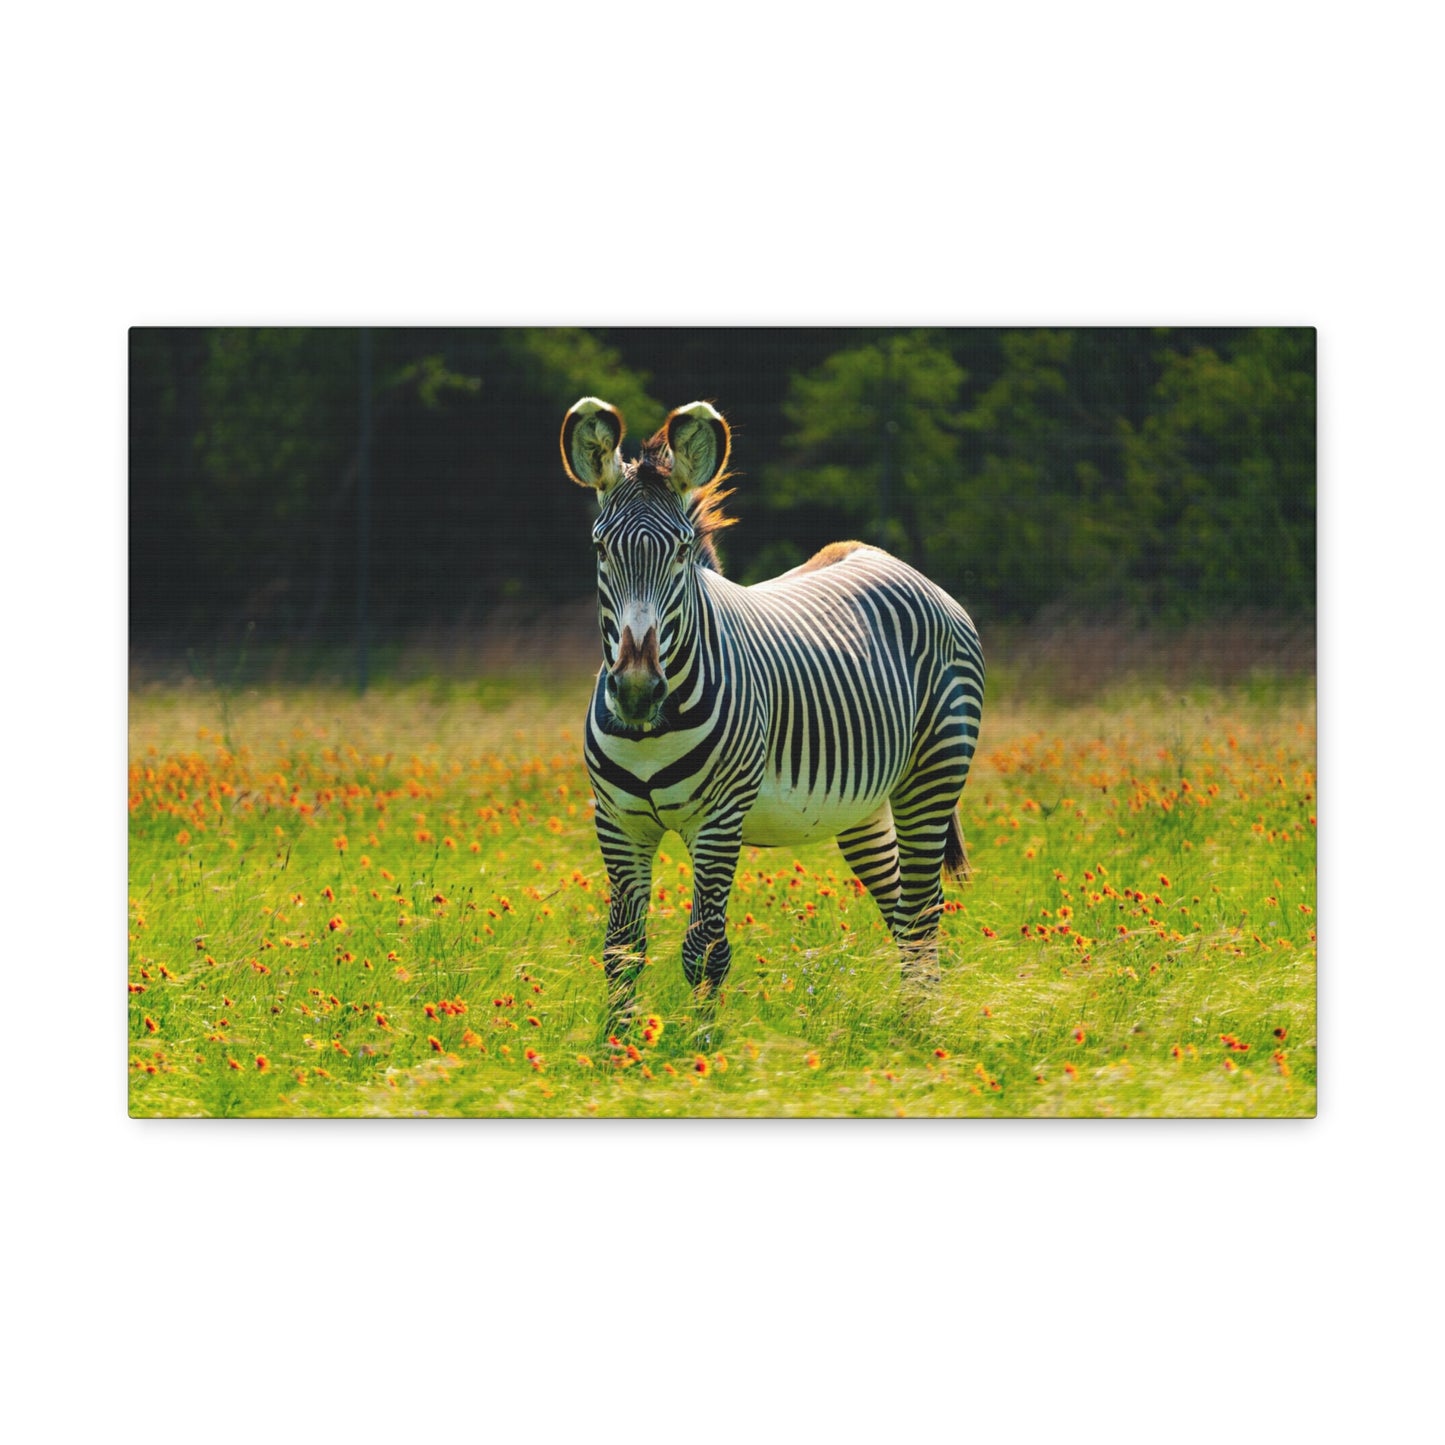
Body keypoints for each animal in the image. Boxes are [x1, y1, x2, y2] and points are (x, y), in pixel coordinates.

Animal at [561, 395, 985, 1022]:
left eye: (681, 551)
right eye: (599, 548)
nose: (636, 691)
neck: (648, 735)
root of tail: (892, 561)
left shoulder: (719, 822)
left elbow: (704, 950)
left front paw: (701, 1045)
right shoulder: (617, 822)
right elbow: (621, 950)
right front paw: (618, 1045)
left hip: (931, 778)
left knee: (923, 912)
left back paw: (923, 1029)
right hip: (863, 808)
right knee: (903, 911)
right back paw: (912, 1022)